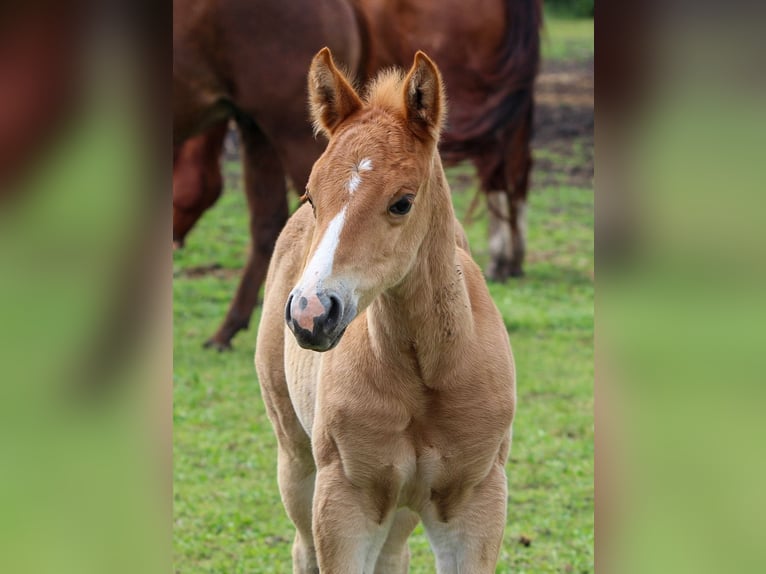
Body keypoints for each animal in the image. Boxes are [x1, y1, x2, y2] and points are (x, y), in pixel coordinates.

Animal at [255, 48, 516, 572]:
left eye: (402, 202)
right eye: (311, 195)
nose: (311, 313)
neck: (426, 372)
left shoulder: (477, 502)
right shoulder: (344, 502)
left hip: (402, 507)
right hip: (297, 459)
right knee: (302, 547)